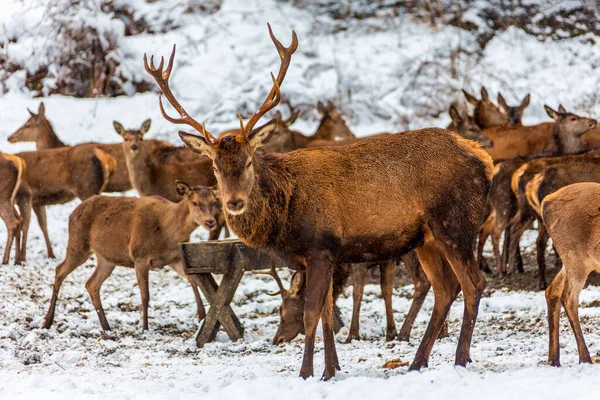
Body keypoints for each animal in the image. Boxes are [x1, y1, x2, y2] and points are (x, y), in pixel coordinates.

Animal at [43, 181, 223, 332]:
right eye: (195, 202)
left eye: (214, 201)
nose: (210, 222)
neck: (168, 232)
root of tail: (72, 213)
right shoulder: (140, 256)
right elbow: (145, 295)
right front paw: (144, 327)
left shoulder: (174, 258)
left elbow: (193, 280)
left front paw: (201, 316)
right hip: (78, 244)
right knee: (59, 270)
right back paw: (47, 321)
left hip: (107, 259)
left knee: (91, 284)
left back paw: (106, 326)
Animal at [145, 24, 492, 378]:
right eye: (214, 167)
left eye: (249, 161)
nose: (234, 203)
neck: (286, 215)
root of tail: (483, 158)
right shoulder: (322, 256)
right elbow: (326, 314)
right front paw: (331, 369)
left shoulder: (321, 247)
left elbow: (312, 313)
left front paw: (307, 372)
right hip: (427, 239)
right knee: (445, 289)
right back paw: (418, 362)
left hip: (455, 224)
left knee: (474, 283)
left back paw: (460, 358)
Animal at [540, 183, 600, 368]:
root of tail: (545, 202)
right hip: (574, 256)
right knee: (568, 296)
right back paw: (585, 357)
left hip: (572, 260)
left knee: (552, 290)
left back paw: (553, 359)